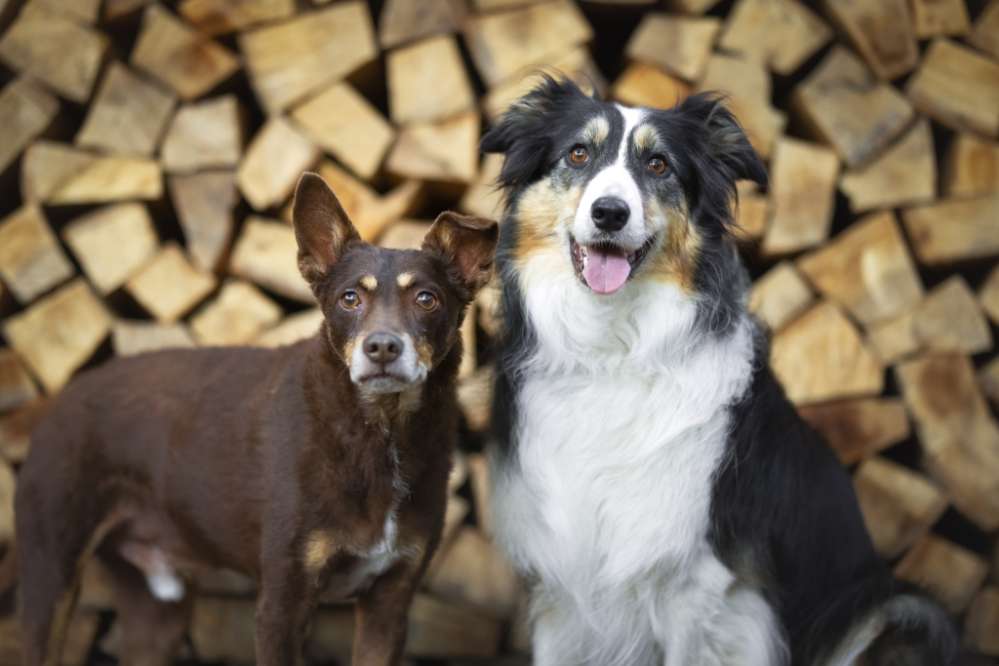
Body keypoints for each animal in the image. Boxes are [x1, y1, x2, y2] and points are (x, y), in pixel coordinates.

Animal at [11, 174, 500, 660]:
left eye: (426, 298)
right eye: (349, 298)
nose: (381, 347)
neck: (377, 433)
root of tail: (62, 395)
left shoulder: (391, 602)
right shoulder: (283, 602)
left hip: (156, 607)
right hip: (49, 570)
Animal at [480, 79, 956, 664]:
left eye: (658, 164)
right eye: (577, 154)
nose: (610, 212)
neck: (610, 350)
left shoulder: (703, 589)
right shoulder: (559, 587)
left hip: (900, 609)